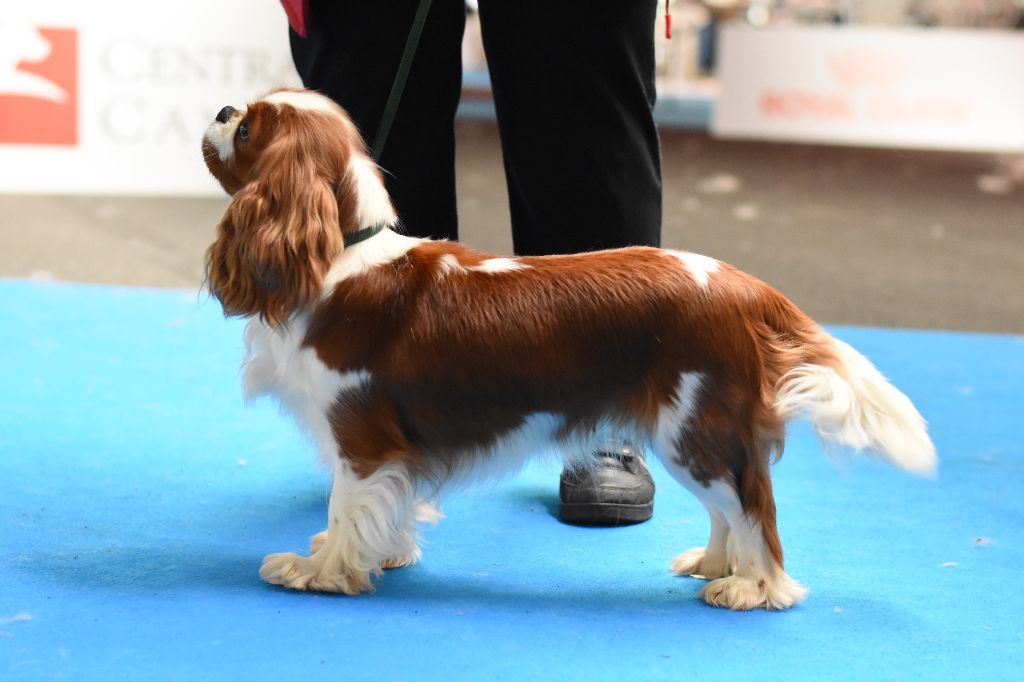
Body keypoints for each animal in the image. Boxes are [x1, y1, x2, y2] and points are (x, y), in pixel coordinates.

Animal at [199, 87, 937, 606]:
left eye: (247, 130)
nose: (223, 108)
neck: (340, 253)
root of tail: (748, 288)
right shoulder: (388, 453)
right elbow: (384, 508)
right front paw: (383, 553)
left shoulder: (362, 436)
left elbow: (346, 505)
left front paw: (321, 571)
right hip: (693, 434)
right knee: (729, 507)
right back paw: (713, 565)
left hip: (695, 430)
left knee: (755, 509)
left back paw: (753, 589)